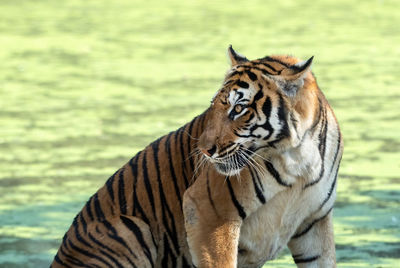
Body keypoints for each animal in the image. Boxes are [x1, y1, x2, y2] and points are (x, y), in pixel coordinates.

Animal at [50, 46, 344, 268]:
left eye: (239, 109)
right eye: (215, 106)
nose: (204, 149)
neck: (296, 157)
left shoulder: (314, 222)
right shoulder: (209, 211)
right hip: (129, 227)